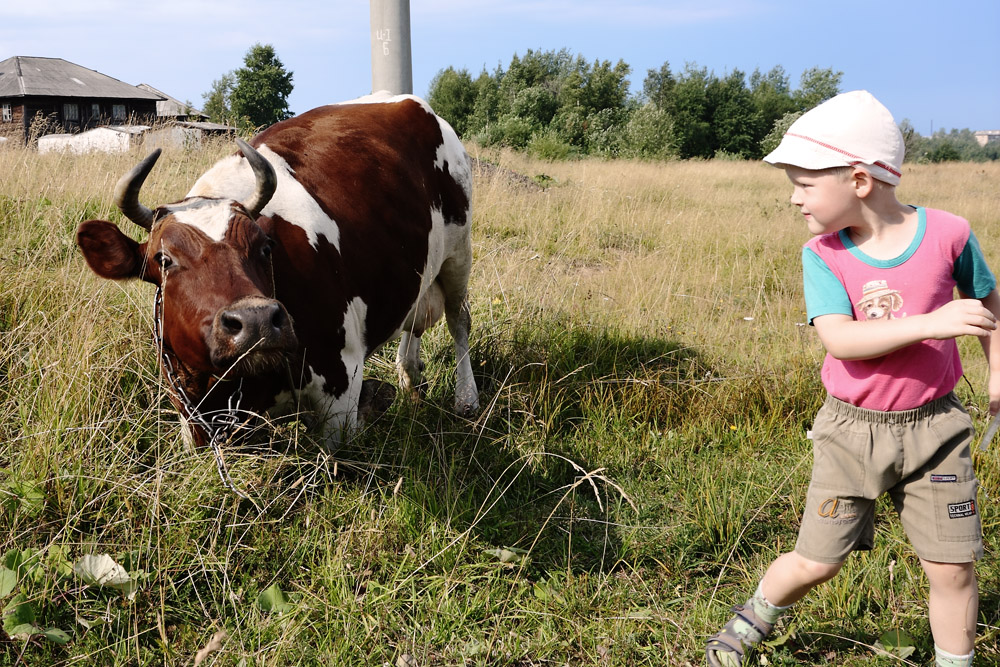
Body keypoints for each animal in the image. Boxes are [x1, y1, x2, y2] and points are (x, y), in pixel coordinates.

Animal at [77, 91, 480, 452]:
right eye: (163, 259)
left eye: (265, 247)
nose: (256, 322)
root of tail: (405, 100)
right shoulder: (191, 412)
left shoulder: (342, 386)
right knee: (414, 320)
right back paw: (410, 378)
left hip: (458, 253)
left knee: (459, 319)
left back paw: (467, 399)